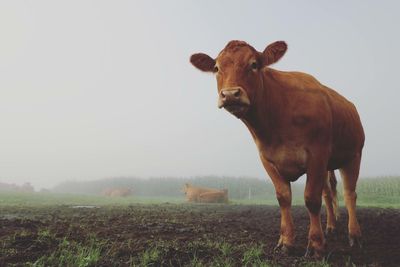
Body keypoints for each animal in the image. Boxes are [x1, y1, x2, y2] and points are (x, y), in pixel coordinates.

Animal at [189, 40, 364, 258]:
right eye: (216, 68)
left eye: (254, 64)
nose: (230, 94)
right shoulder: (268, 159)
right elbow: (284, 198)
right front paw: (286, 241)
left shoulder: (317, 155)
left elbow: (311, 199)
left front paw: (316, 245)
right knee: (328, 193)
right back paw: (331, 226)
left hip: (353, 156)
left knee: (350, 194)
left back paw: (354, 235)